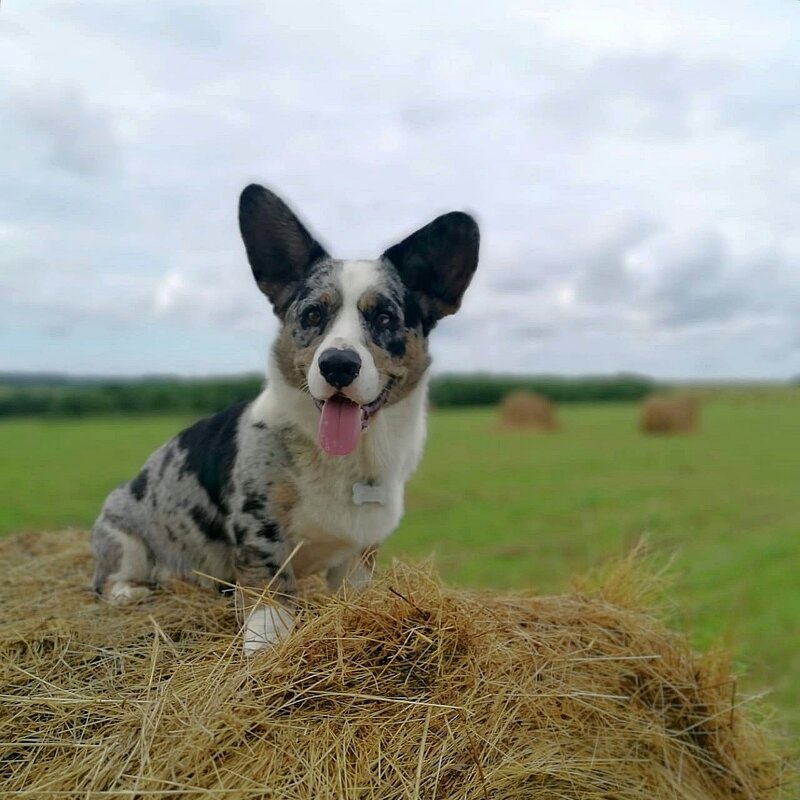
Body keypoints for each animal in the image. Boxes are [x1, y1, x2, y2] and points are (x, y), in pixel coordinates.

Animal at [94, 186, 482, 656]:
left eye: (384, 317)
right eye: (312, 315)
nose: (338, 365)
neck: (346, 461)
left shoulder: (357, 558)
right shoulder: (260, 535)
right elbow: (270, 599)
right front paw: (266, 647)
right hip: (122, 535)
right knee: (109, 579)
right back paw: (129, 591)